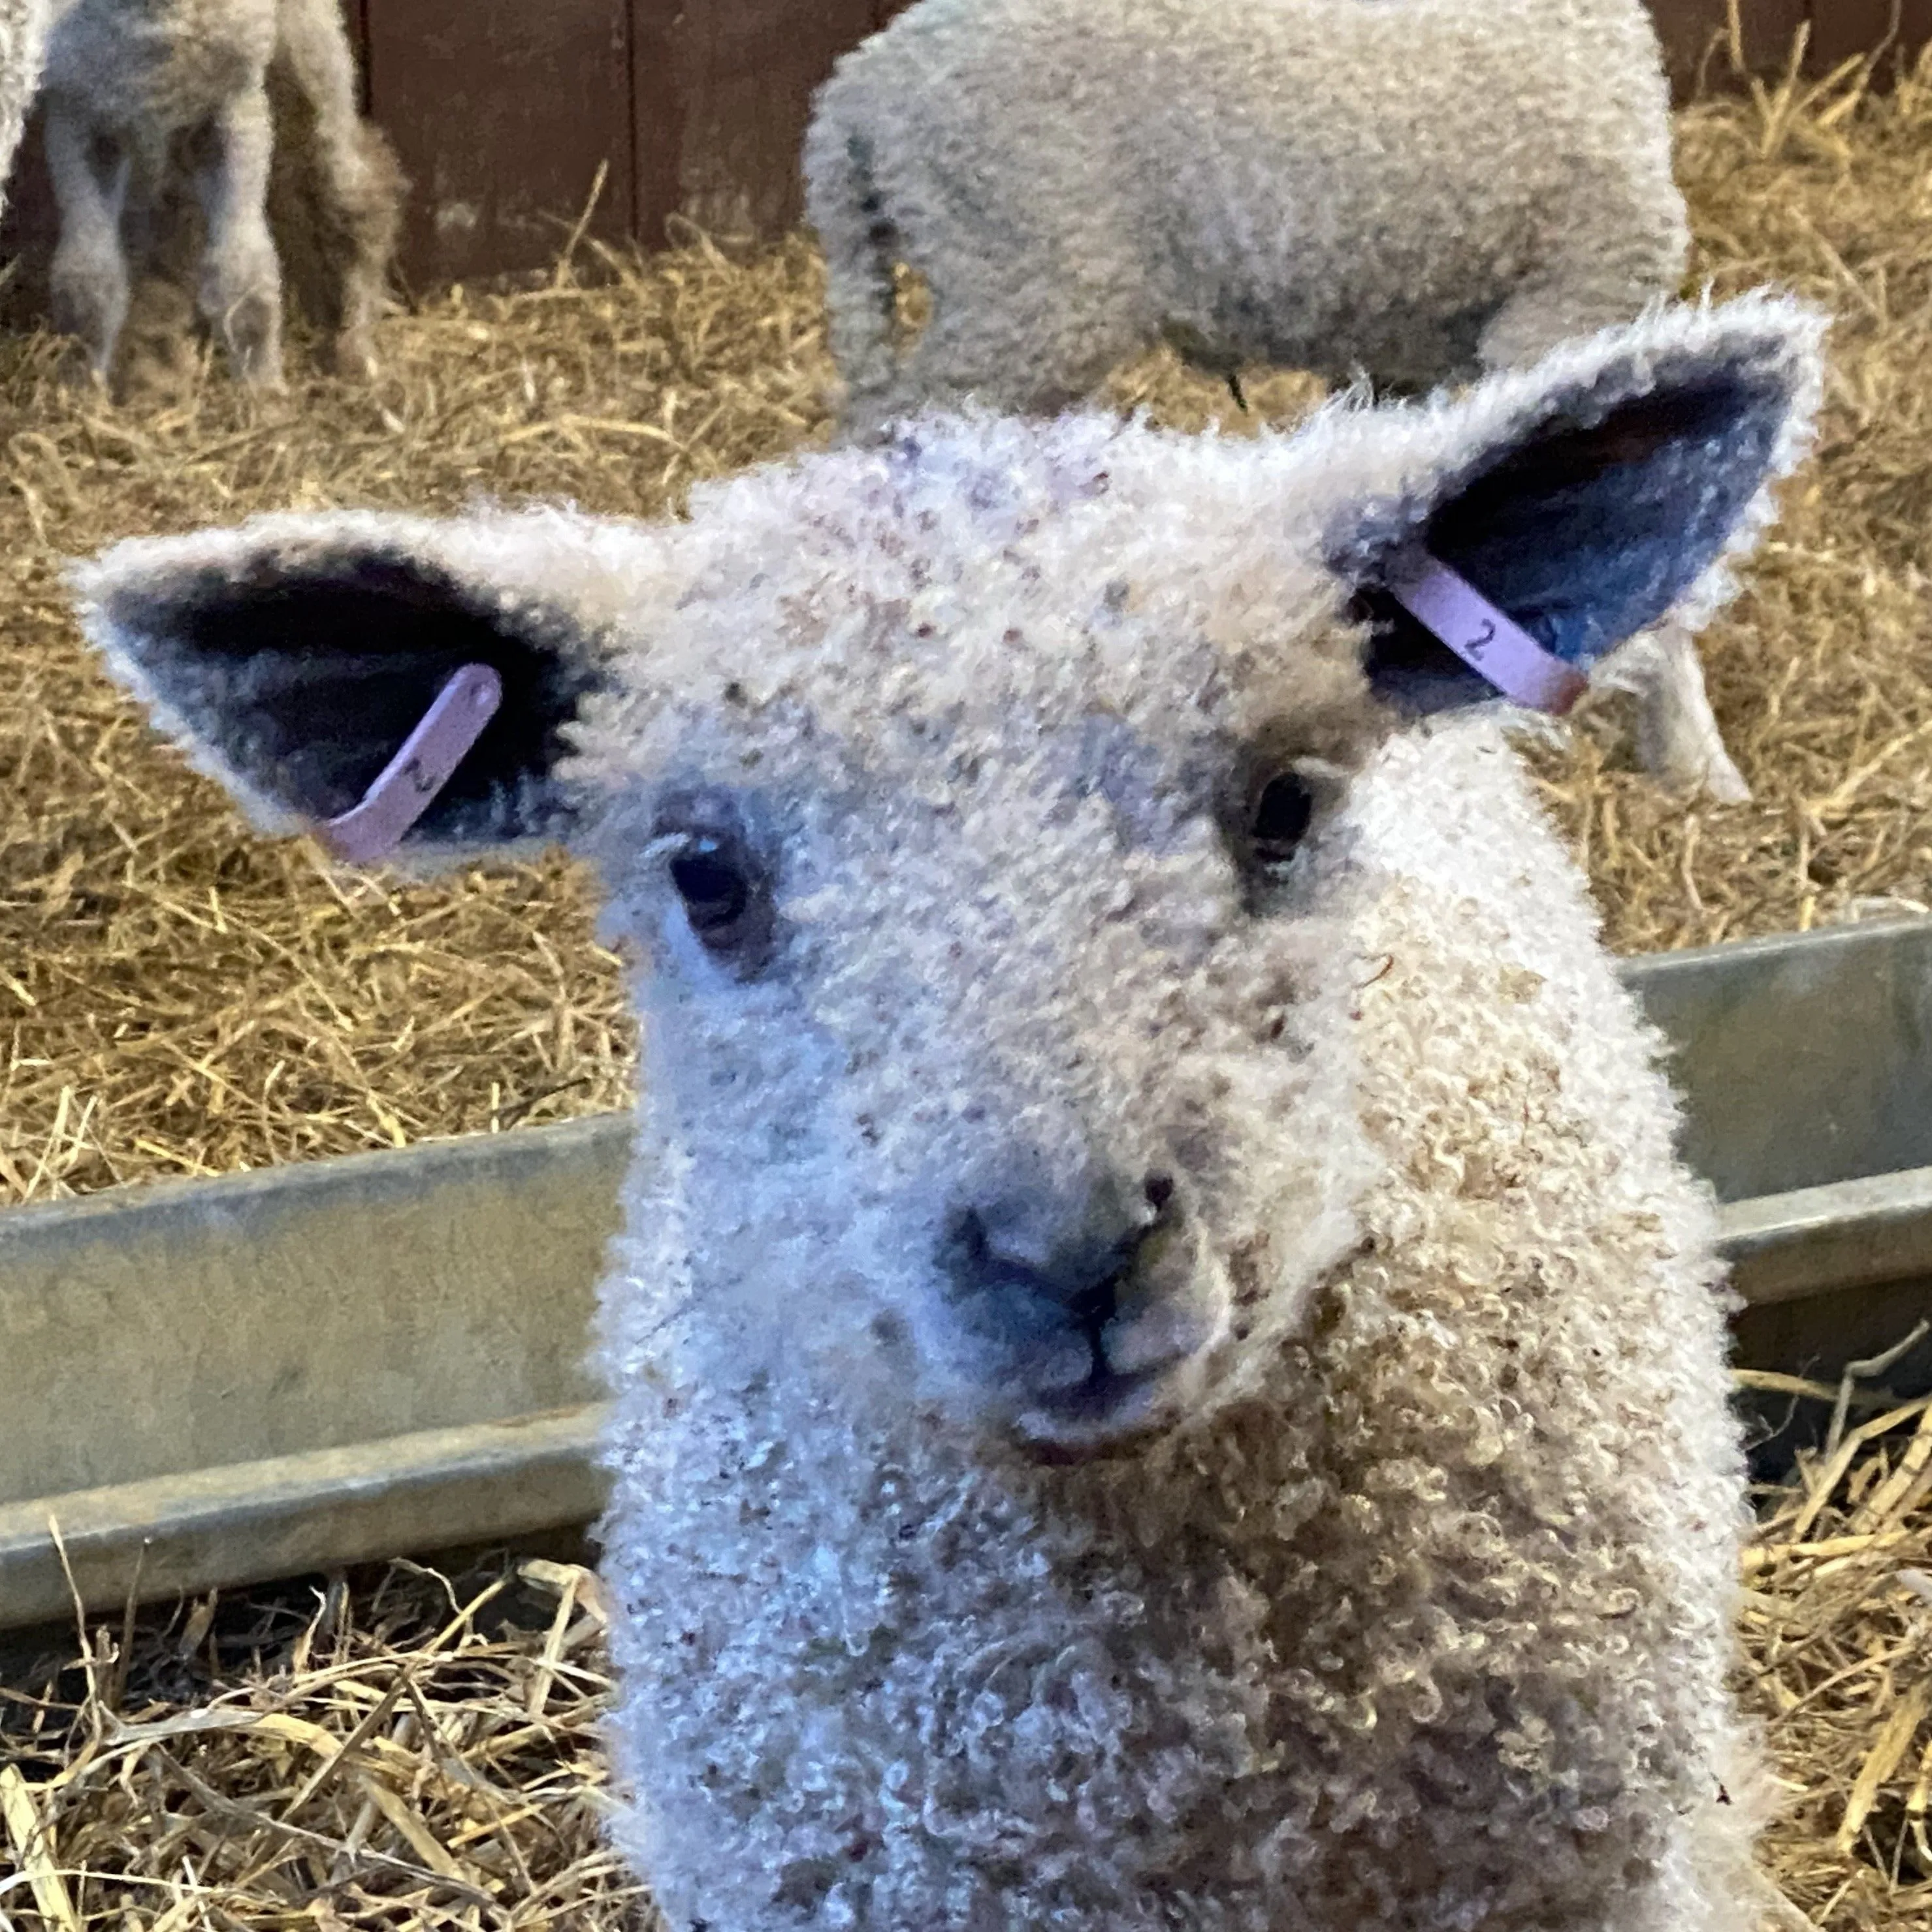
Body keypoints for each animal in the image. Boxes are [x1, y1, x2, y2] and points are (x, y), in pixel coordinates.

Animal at [37, 0, 404, 388]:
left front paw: (263, 389)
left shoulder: (234, 108)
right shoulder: (79, 114)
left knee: (351, 191)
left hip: (305, 50)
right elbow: (87, 274)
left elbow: (242, 269)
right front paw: (80, 387)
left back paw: (355, 348)